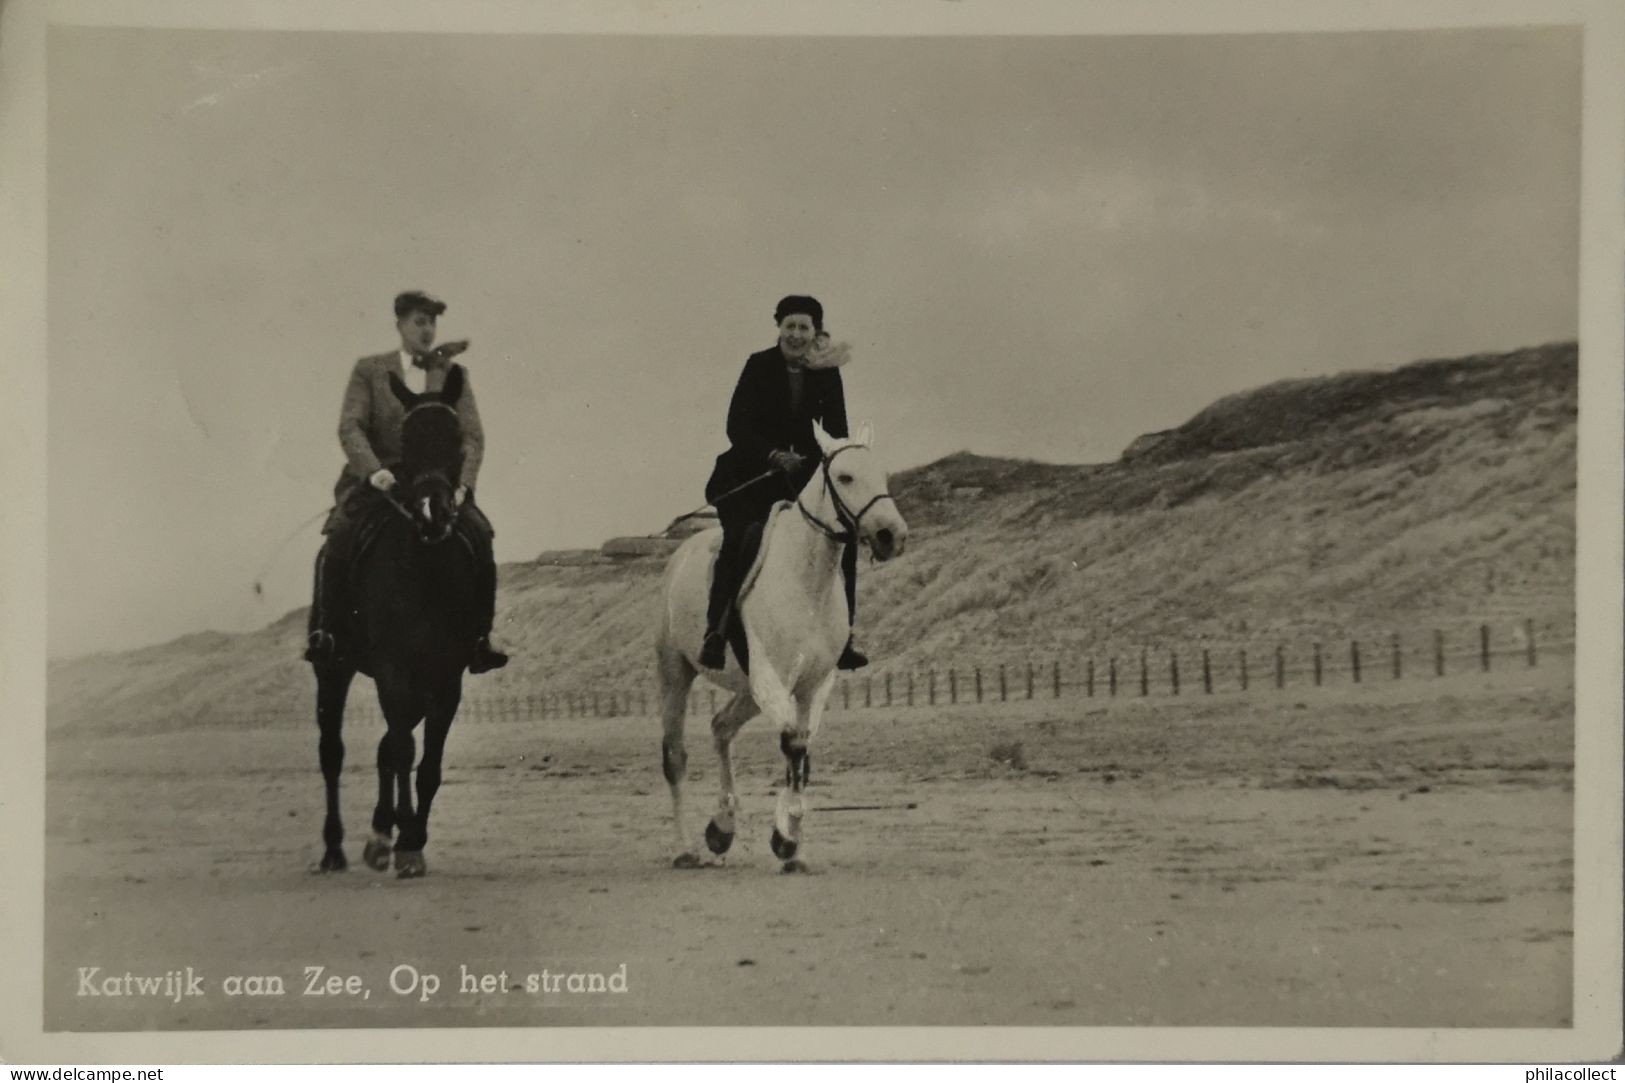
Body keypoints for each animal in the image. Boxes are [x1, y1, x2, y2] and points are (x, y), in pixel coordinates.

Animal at [313, 364, 481, 878]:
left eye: (457, 439)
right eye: (406, 441)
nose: (432, 512)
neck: (426, 571)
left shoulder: (446, 679)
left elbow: (427, 764)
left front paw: (408, 839)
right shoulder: (393, 670)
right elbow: (405, 751)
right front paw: (406, 841)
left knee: (388, 745)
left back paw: (378, 836)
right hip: (333, 667)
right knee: (332, 752)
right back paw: (334, 849)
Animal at [659, 419, 916, 871]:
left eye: (882, 475)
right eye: (845, 477)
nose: (892, 535)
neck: (806, 580)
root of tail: (682, 552)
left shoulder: (814, 686)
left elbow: (802, 749)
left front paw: (792, 845)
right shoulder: (774, 681)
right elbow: (793, 744)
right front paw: (786, 835)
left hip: (747, 690)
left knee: (721, 727)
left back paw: (721, 827)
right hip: (677, 673)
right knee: (676, 755)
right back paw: (687, 848)